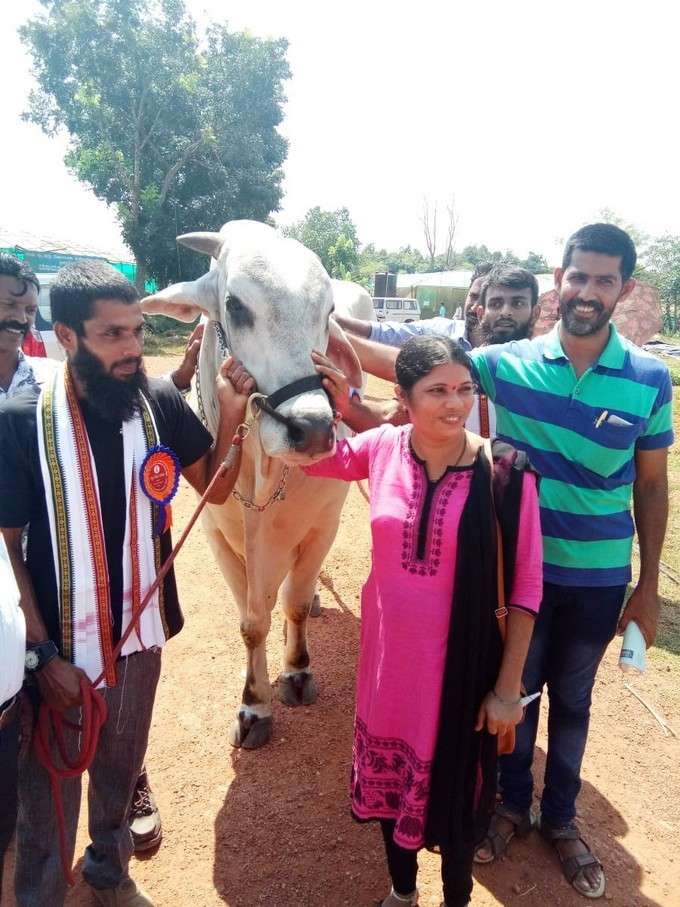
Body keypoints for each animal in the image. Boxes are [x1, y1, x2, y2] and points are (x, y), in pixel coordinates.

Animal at [143, 222, 372, 752]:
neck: (261, 471)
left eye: (328, 311)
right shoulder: (217, 536)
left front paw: (296, 673)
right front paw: (254, 705)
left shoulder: (323, 525)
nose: (312, 430)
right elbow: (251, 622)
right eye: (235, 305)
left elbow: (291, 605)